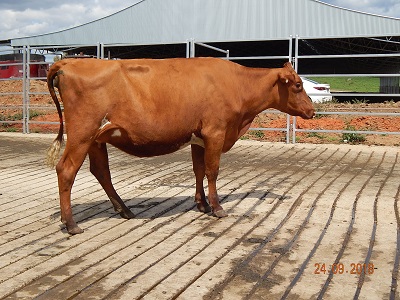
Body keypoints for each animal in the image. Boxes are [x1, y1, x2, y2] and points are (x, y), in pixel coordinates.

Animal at [47, 56, 314, 234]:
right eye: (298, 85)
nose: (312, 110)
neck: (237, 84)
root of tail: (68, 63)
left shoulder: (199, 137)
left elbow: (198, 170)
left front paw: (202, 204)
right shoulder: (215, 132)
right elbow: (212, 171)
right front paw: (217, 207)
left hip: (95, 139)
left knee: (101, 172)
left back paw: (124, 210)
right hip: (82, 133)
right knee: (66, 170)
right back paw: (71, 224)